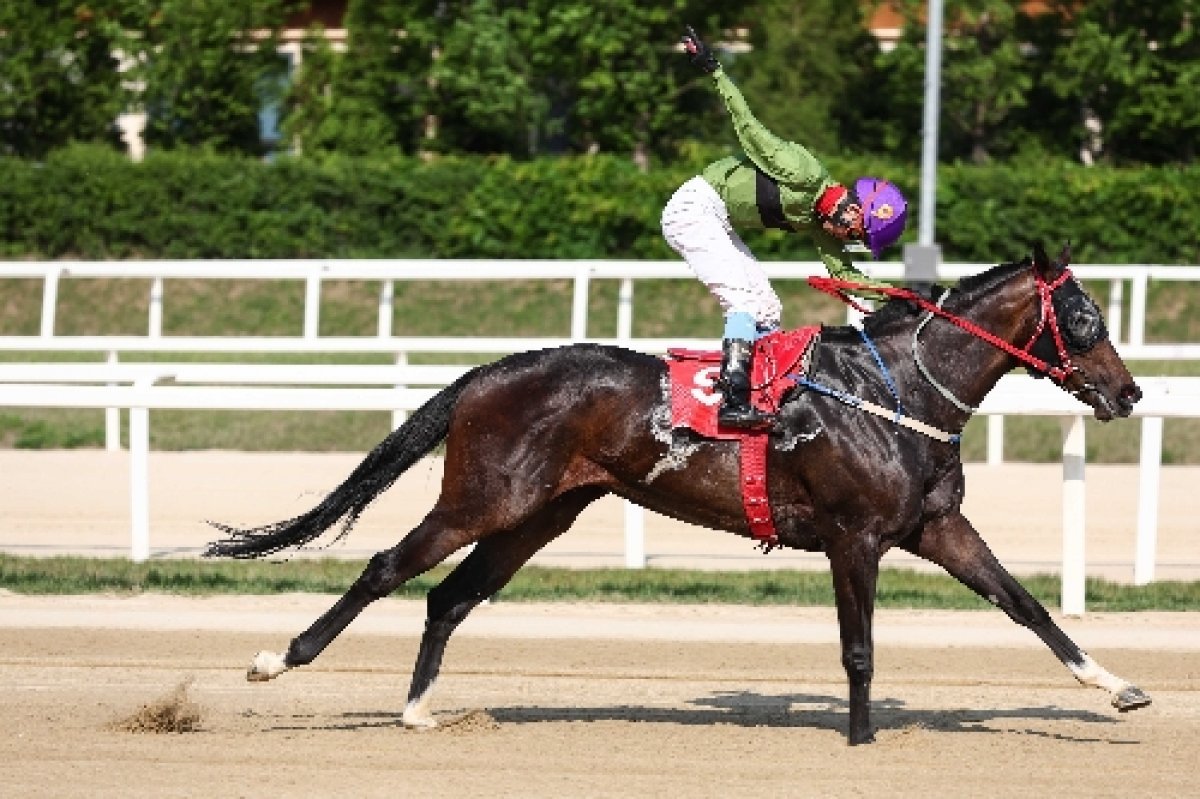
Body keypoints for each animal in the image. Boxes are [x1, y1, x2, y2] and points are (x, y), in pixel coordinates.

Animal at [208, 242, 1152, 739]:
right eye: (1086, 320)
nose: (1130, 392)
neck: (898, 394)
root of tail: (490, 372)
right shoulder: (853, 537)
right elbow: (859, 648)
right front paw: (860, 735)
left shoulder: (934, 526)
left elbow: (1025, 603)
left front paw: (1118, 687)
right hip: (483, 498)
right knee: (384, 567)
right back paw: (276, 660)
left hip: (540, 513)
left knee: (449, 596)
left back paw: (416, 711)